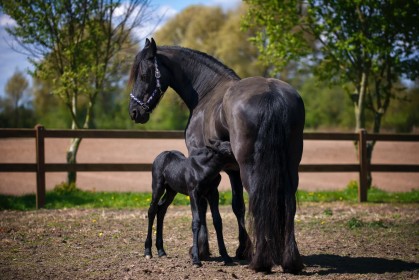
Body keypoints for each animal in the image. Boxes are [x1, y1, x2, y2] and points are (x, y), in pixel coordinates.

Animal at [128, 38, 306, 272]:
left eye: (143, 75)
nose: (134, 112)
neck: (207, 91)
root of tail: (271, 93)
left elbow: (203, 208)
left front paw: (202, 250)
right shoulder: (232, 171)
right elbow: (237, 206)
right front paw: (241, 249)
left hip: (252, 168)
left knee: (259, 201)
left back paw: (261, 261)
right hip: (290, 166)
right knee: (288, 203)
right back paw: (290, 260)